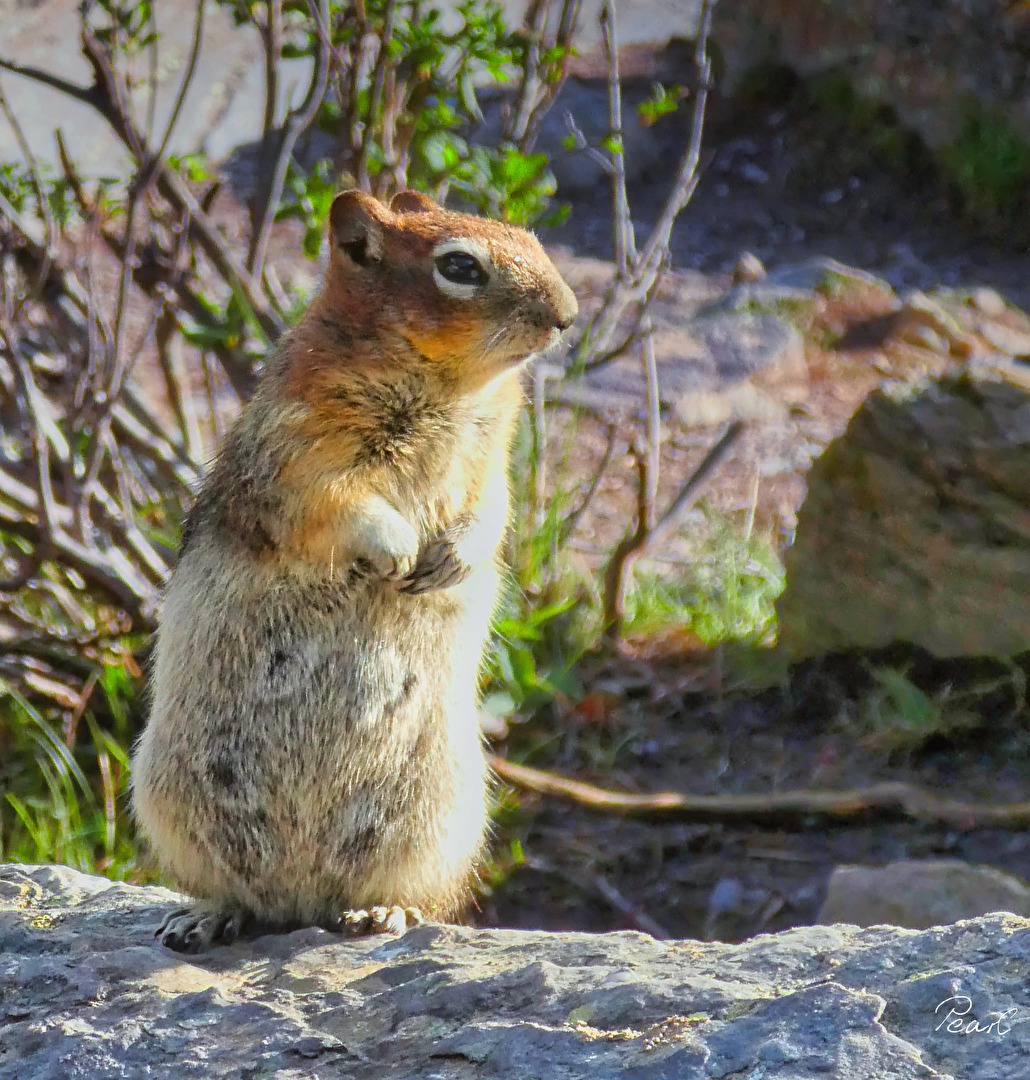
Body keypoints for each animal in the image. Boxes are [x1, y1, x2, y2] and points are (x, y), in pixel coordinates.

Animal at [130, 188, 577, 952]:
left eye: (528, 237)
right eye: (459, 266)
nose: (568, 312)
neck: (450, 389)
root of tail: (301, 901)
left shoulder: (493, 465)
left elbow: (490, 514)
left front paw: (450, 560)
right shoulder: (299, 452)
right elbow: (337, 504)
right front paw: (396, 549)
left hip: (436, 816)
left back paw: (380, 913)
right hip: (170, 795)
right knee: (228, 887)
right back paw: (204, 917)